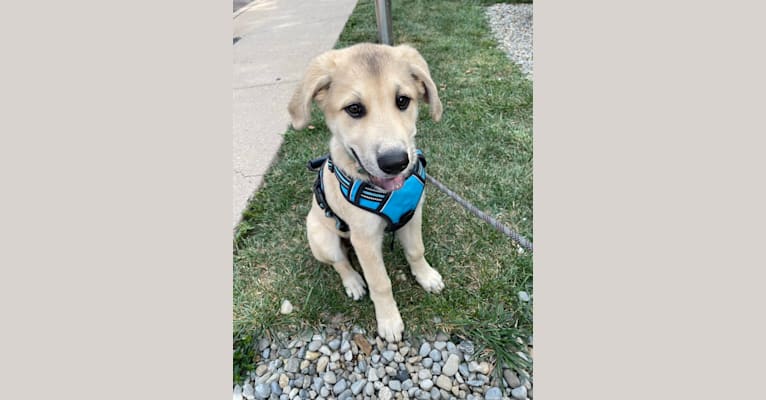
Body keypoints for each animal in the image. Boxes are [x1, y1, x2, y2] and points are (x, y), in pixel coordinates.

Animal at [288, 43, 444, 340]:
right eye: (354, 108)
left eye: (403, 101)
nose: (395, 162)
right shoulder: (365, 240)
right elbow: (380, 282)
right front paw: (389, 321)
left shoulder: (413, 216)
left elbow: (416, 250)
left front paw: (426, 276)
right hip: (321, 238)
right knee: (340, 262)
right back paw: (353, 283)